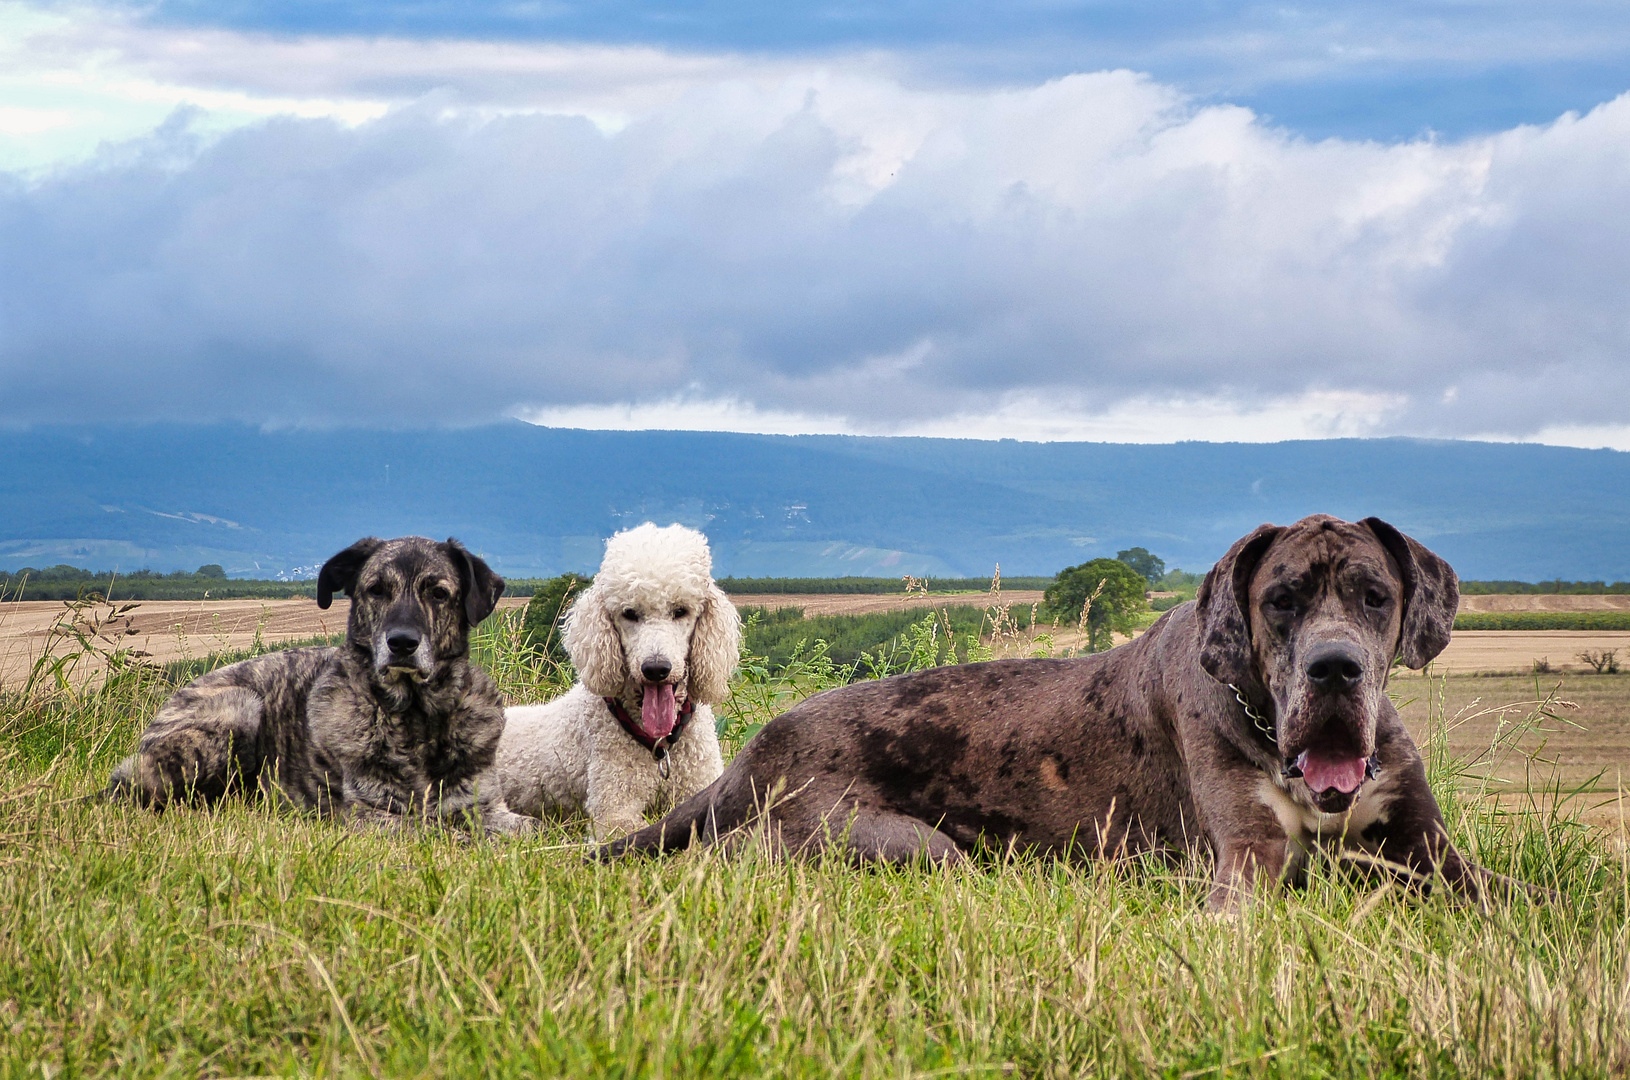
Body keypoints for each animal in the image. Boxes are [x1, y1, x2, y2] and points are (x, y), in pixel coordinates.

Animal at [106, 537, 534, 834]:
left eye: (439, 593)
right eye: (376, 589)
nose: (402, 643)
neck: (417, 715)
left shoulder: (487, 807)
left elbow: (531, 829)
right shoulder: (376, 817)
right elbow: (446, 835)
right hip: (239, 709)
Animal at [606, 514, 1532, 905]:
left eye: (1376, 597)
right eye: (1282, 600)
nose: (1334, 667)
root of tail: (761, 742)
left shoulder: (1433, 852)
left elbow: (1522, 896)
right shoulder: (1247, 856)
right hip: (906, 846)